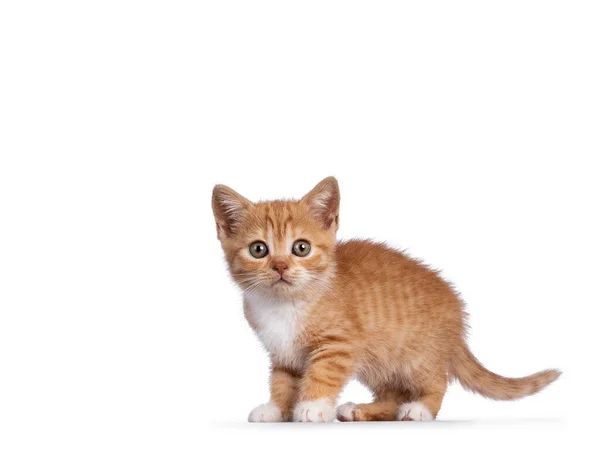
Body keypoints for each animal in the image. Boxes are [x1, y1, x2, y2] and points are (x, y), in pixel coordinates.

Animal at [212, 177, 564, 422]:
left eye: (301, 247)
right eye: (259, 249)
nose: (281, 266)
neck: (285, 304)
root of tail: (457, 319)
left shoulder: (340, 344)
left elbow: (322, 373)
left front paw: (311, 407)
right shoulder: (283, 352)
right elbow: (282, 381)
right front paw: (276, 409)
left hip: (415, 354)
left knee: (437, 382)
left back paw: (421, 409)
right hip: (378, 361)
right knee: (393, 395)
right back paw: (361, 410)